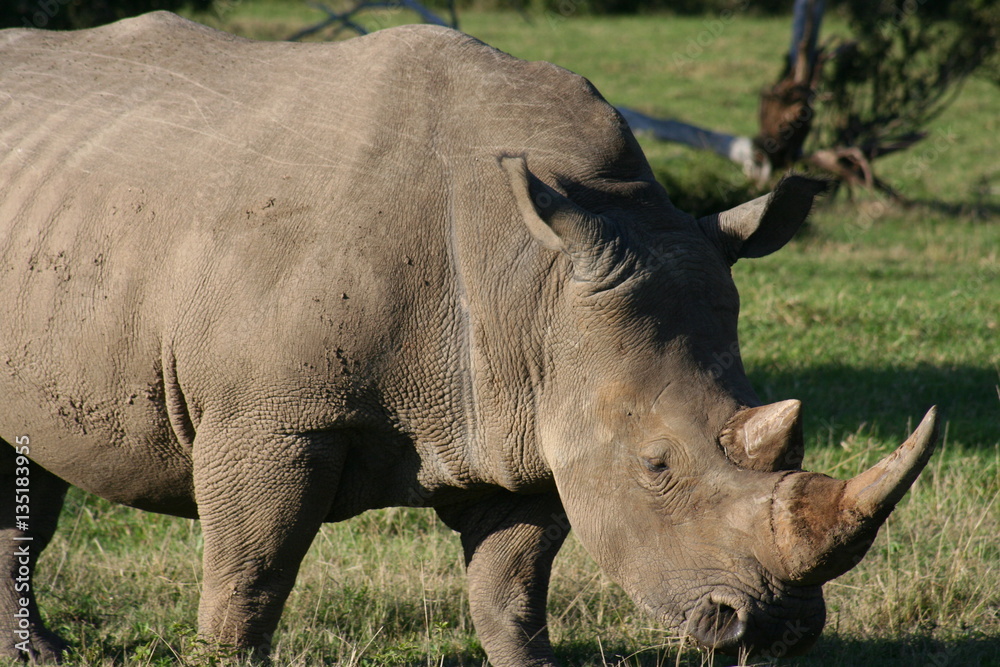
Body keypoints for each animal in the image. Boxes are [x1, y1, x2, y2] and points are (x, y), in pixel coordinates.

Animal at [0, 12, 937, 665]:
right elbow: (249, 579)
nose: (779, 630)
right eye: (656, 466)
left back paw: (39, 652)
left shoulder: (526, 418)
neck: (534, 278)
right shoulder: (272, 417)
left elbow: (511, 591)